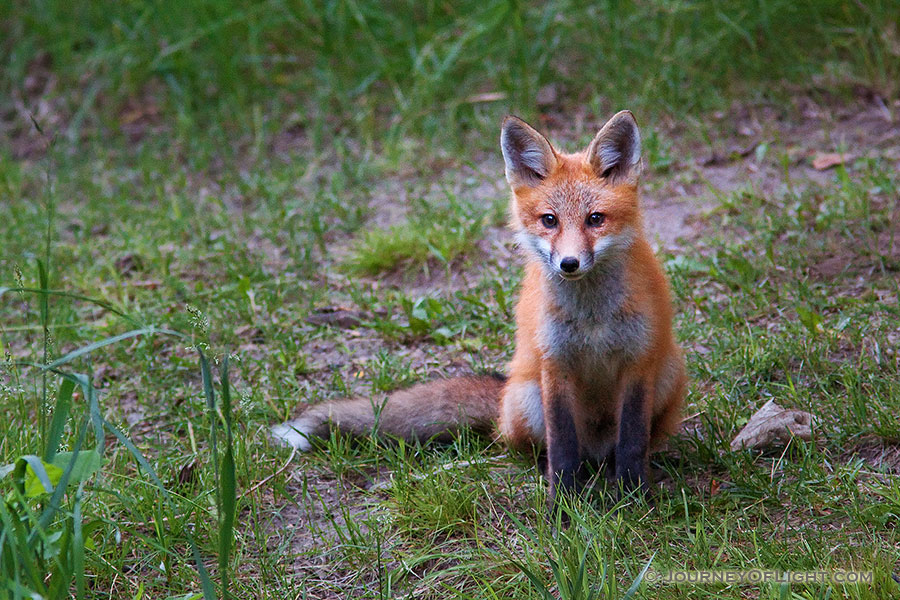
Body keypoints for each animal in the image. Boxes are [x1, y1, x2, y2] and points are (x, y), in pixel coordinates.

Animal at [270, 111, 684, 502]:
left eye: (595, 219)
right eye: (549, 220)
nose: (569, 264)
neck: (592, 317)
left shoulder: (638, 362)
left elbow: (632, 445)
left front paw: (635, 499)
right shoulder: (555, 364)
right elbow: (563, 448)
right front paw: (563, 508)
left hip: (667, 373)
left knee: (623, 448)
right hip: (528, 399)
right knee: (542, 449)